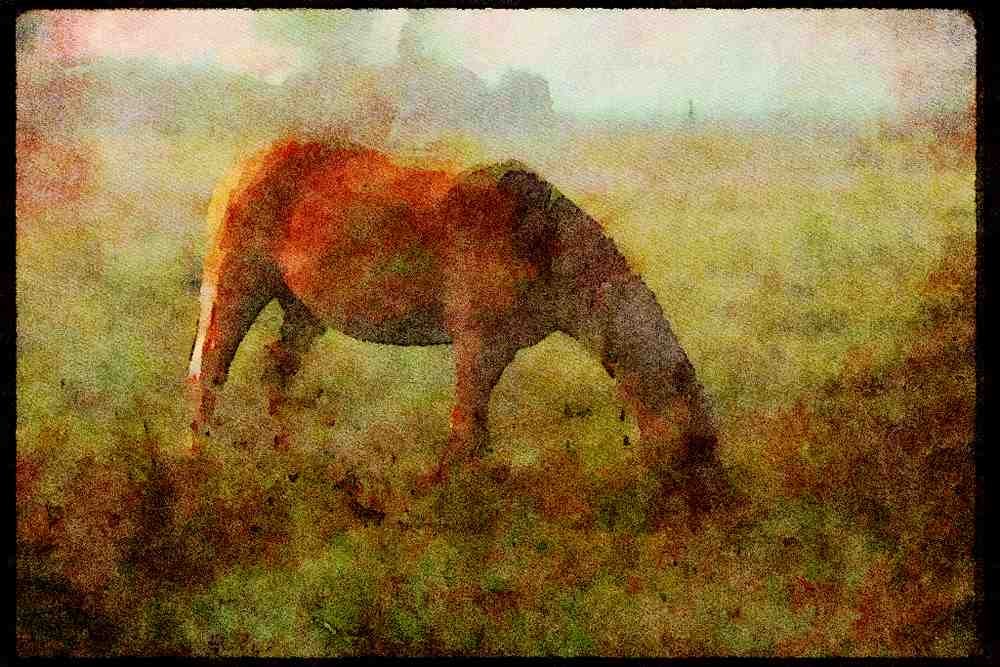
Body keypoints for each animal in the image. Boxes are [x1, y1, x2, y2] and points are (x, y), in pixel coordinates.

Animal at [187, 137, 731, 515]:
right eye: (698, 444)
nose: (720, 509)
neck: (541, 243)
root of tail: (245, 164)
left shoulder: (496, 348)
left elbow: (475, 431)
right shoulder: (479, 344)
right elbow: (466, 428)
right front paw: (444, 499)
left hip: (302, 311)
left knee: (277, 373)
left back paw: (284, 457)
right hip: (235, 288)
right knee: (208, 373)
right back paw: (198, 462)